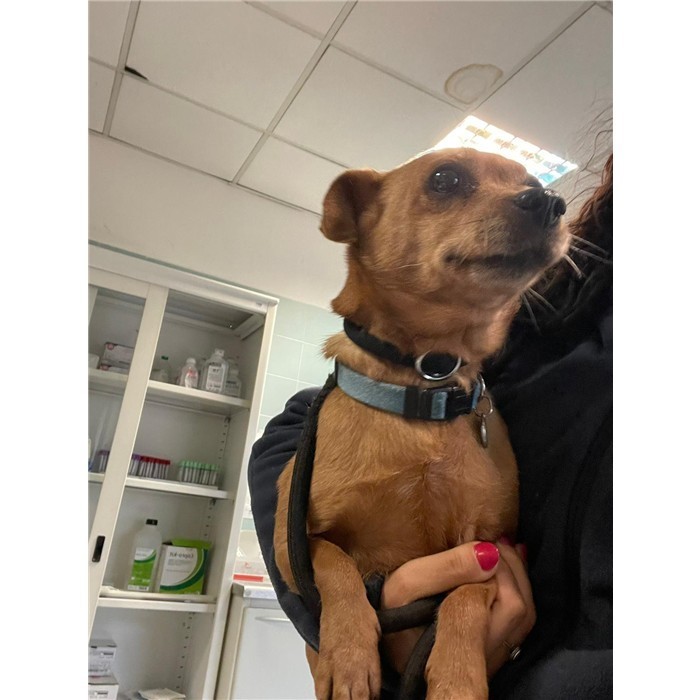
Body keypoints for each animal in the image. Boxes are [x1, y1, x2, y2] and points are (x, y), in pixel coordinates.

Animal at [273, 147, 570, 699]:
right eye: (445, 179)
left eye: (535, 182)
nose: (549, 202)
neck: (425, 387)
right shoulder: (293, 546)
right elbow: (336, 570)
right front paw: (349, 656)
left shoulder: (489, 547)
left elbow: (465, 596)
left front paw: (457, 675)